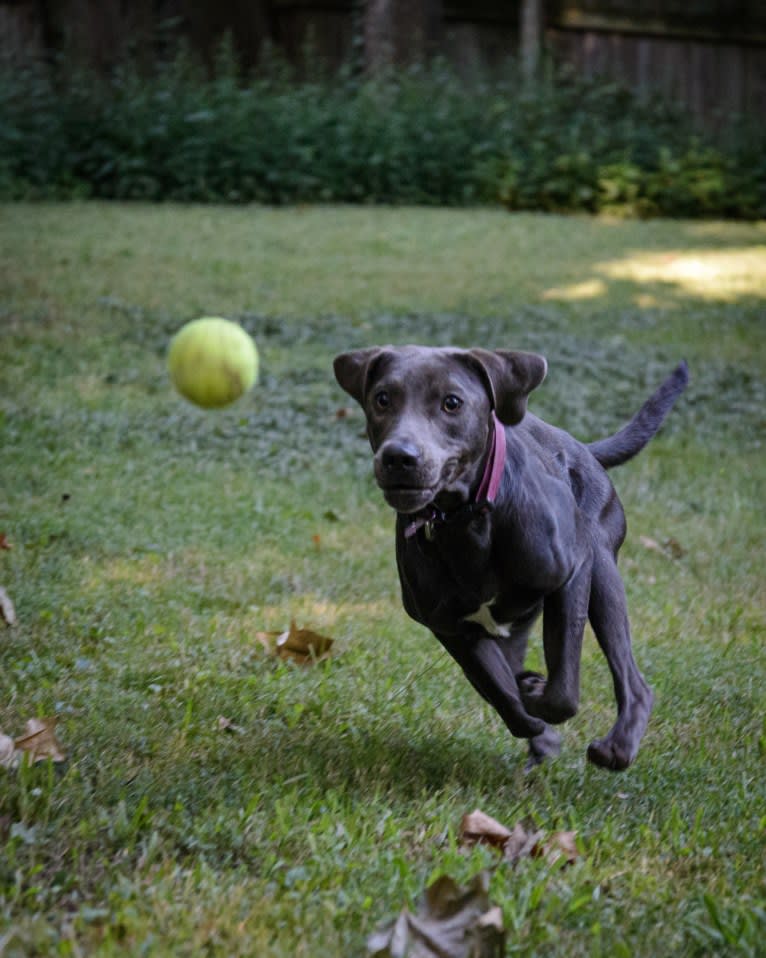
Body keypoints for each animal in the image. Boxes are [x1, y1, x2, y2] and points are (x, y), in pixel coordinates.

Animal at [334, 346, 688, 772]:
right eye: (382, 398)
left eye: (452, 402)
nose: (399, 457)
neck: (465, 520)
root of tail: (581, 447)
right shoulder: (452, 628)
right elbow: (501, 693)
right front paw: (535, 722)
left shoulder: (572, 573)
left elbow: (562, 688)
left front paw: (539, 696)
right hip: (514, 623)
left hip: (603, 573)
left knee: (633, 680)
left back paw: (616, 747)